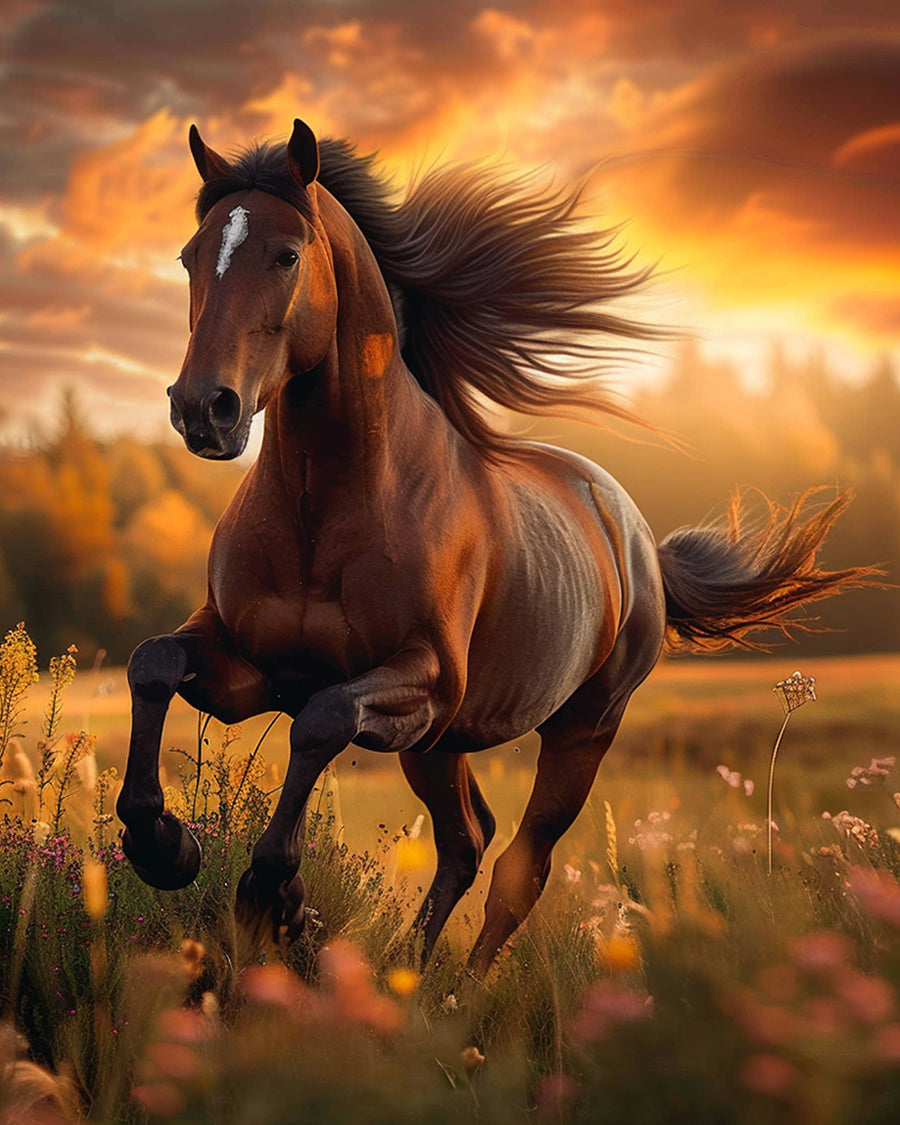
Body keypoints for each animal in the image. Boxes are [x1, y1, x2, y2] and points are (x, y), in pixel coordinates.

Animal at [116, 119, 871, 977]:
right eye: (190, 255)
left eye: (286, 254)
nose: (202, 408)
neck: (324, 508)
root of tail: (638, 538)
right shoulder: (253, 667)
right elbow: (154, 663)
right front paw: (167, 848)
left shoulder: (422, 682)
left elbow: (319, 720)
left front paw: (272, 897)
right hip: (441, 746)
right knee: (466, 840)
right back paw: (403, 974)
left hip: (578, 731)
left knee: (519, 865)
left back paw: (453, 993)